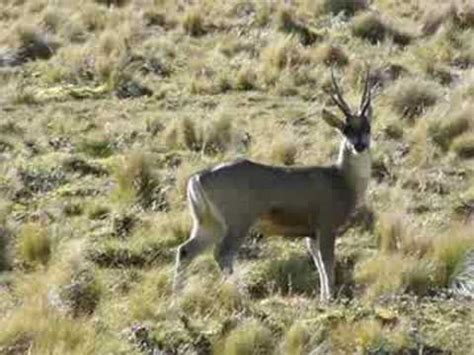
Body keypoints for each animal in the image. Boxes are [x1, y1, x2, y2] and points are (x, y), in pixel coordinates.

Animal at [174, 69, 374, 304]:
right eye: (346, 129)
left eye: (367, 127)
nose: (359, 145)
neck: (342, 179)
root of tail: (198, 178)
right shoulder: (326, 224)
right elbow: (327, 263)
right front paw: (330, 299)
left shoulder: (311, 233)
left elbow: (318, 263)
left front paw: (324, 297)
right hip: (238, 220)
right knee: (222, 254)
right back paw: (239, 295)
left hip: (208, 222)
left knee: (185, 250)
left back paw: (175, 299)